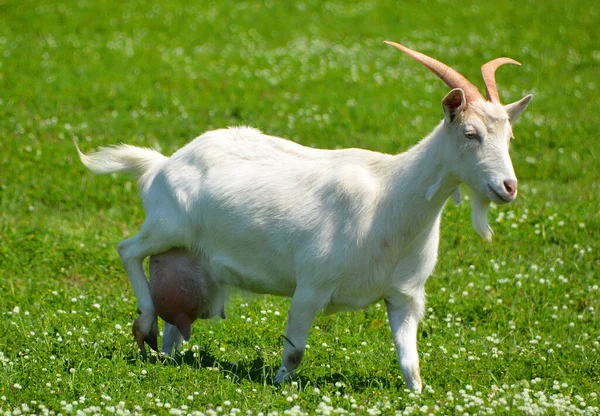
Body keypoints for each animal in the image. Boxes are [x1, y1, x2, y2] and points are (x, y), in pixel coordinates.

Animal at [74, 40, 528, 392]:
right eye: (470, 134)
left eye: (510, 137)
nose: (508, 187)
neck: (391, 198)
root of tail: (162, 164)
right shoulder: (311, 285)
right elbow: (294, 351)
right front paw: (278, 387)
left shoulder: (406, 297)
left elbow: (410, 364)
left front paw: (416, 394)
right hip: (166, 227)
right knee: (128, 249)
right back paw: (145, 324)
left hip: (192, 263)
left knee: (175, 323)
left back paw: (164, 355)